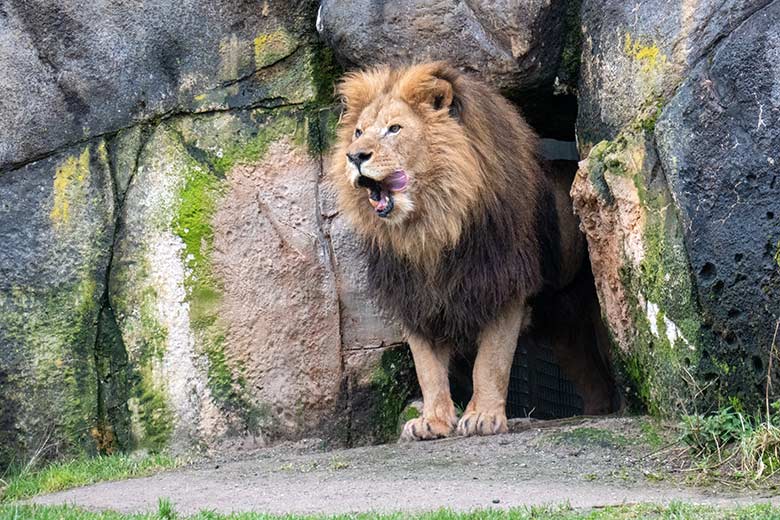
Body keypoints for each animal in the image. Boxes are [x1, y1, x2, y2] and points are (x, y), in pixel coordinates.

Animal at [330, 63, 608, 440]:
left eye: (394, 128)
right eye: (358, 132)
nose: (355, 155)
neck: (428, 229)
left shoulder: (504, 286)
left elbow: (490, 361)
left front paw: (483, 417)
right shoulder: (413, 299)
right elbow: (428, 368)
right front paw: (432, 421)